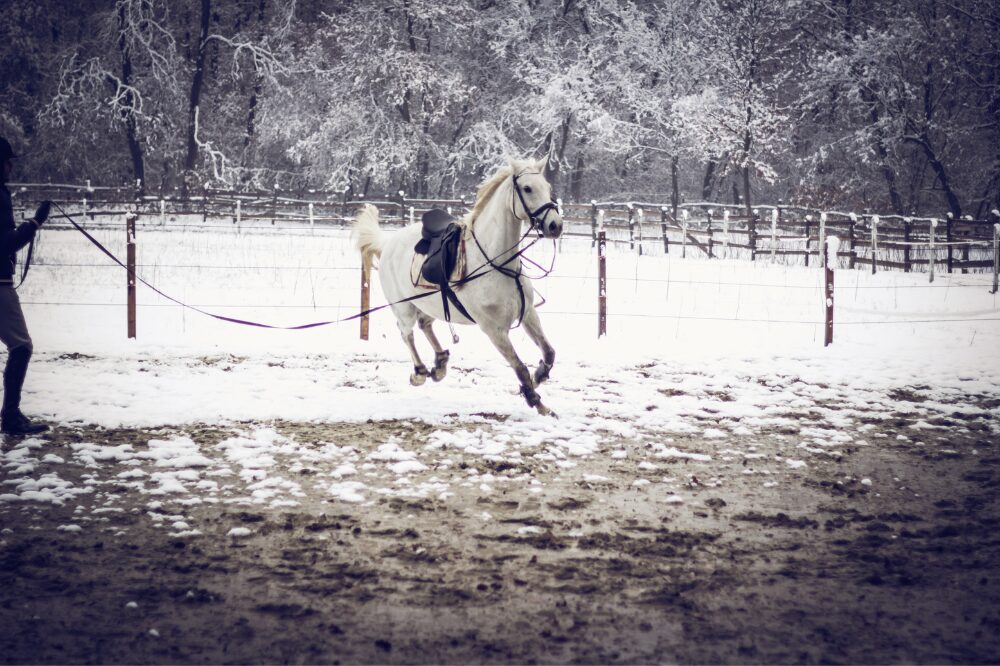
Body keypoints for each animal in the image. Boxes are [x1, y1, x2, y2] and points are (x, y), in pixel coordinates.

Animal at [353, 157, 564, 416]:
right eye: (527, 188)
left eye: (547, 187)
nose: (555, 225)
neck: (496, 263)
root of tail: (388, 241)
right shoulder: (494, 329)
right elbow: (520, 367)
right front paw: (537, 402)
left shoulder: (528, 314)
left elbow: (549, 352)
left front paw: (538, 376)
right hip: (403, 308)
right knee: (407, 333)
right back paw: (420, 373)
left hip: (429, 304)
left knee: (425, 326)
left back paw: (440, 364)